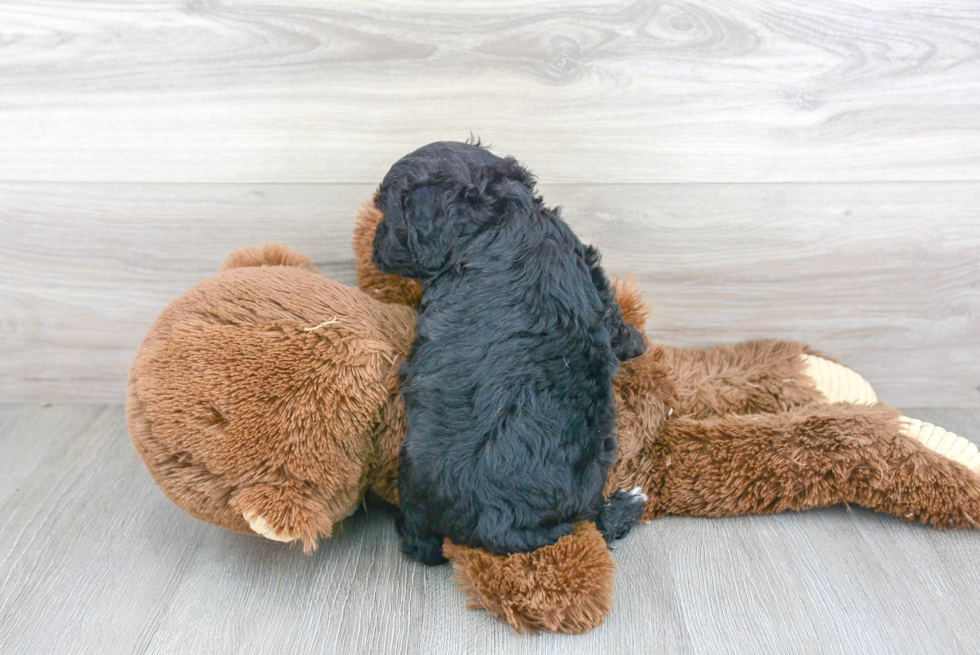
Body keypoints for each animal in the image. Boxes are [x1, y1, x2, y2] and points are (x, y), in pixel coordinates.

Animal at [376, 140, 652, 564]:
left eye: (386, 216)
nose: (373, 248)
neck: (502, 216)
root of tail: (496, 522)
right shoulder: (584, 263)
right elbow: (612, 309)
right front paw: (636, 342)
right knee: (592, 522)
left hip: (411, 470)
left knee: (421, 544)